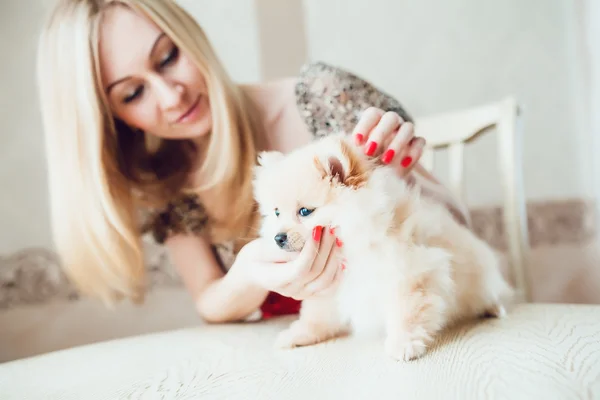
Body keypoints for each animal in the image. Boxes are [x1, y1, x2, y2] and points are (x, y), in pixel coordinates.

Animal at [251, 133, 512, 360]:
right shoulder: (331, 288)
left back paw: (493, 308)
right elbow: (317, 315)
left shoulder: (410, 272)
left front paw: (404, 343)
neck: (351, 244)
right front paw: (299, 334)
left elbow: (407, 311)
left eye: (305, 211)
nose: (278, 237)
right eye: (276, 213)